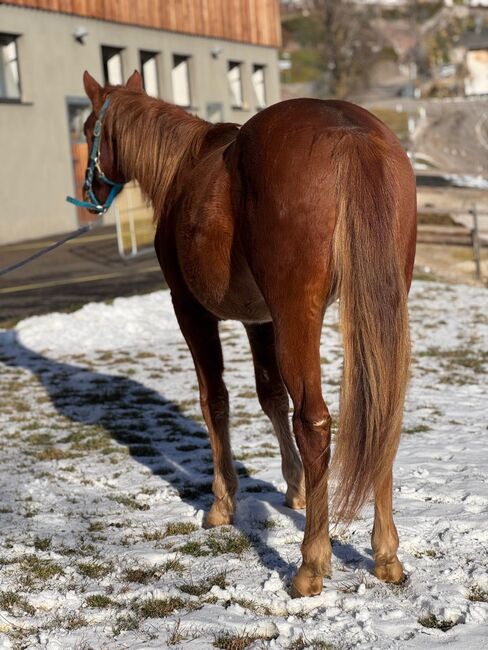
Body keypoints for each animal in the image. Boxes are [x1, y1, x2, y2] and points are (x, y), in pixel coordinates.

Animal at [79, 68, 416, 596]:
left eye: (88, 127)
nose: (89, 191)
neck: (183, 166)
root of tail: (349, 134)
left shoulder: (191, 310)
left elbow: (214, 399)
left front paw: (222, 502)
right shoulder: (261, 320)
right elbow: (269, 395)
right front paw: (296, 489)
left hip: (299, 316)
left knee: (314, 422)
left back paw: (311, 563)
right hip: (379, 312)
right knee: (382, 415)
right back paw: (386, 556)